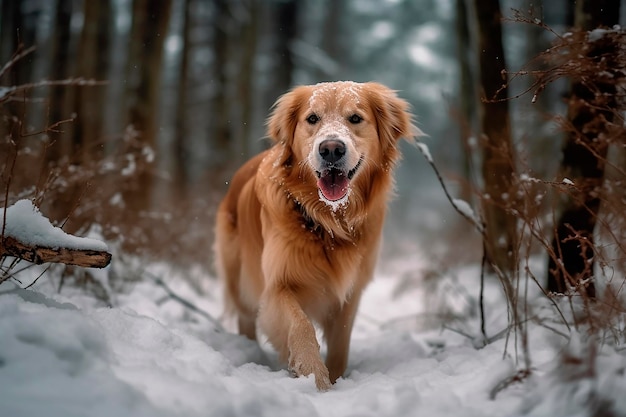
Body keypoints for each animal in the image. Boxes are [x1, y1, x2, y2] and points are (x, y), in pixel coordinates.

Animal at [213, 80, 414, 390]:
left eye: (355, 118)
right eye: (312, 118)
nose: (331, 149)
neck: (326, 222)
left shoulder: (350, 292)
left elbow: (341, 344)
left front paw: (336, 377)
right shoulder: (278, 285)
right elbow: (301, 326)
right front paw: (315, 378)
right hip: (238, 276)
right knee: (246, 318)